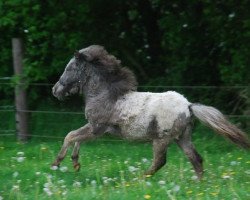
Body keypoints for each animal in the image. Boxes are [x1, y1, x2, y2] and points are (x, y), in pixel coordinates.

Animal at [51, 45, 250, 178]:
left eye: (69, 68)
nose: (55, 90)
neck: (106, 95)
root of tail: (188, 106)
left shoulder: (97, 129)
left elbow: (70, 136)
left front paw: (56, 164)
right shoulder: (93, 127)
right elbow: (76, 138)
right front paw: (76, 164)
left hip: (161, 140)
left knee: (160, 162)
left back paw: (141, 178)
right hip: (183, 138)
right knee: (196, 159)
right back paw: (199, 185)